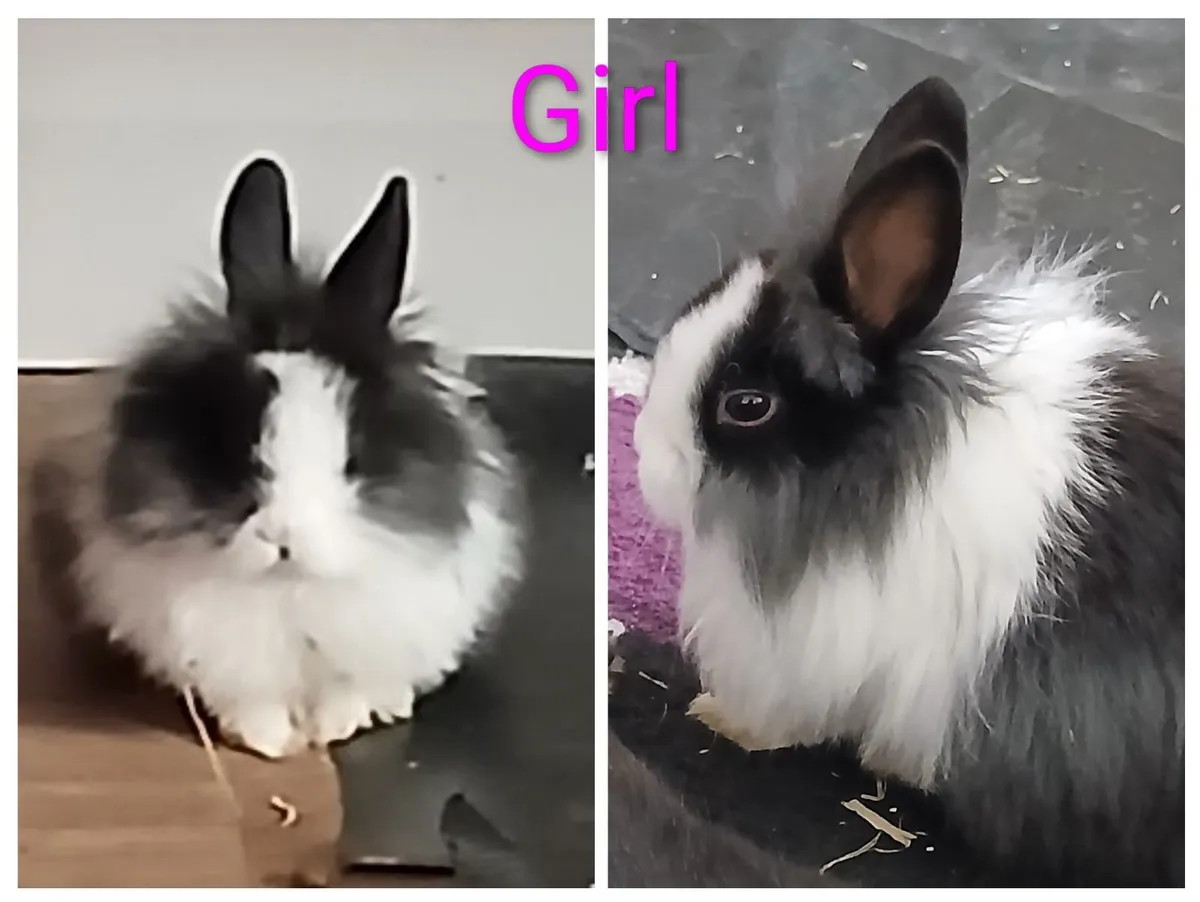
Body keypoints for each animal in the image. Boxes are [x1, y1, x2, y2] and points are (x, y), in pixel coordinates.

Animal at [56, 156, 526, 759]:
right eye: (231, 449)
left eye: (353, 458)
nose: (283, 538)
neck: (290, 590)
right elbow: (254, 700)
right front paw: (270, 742)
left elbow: (348, 688)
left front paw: (335, 728)